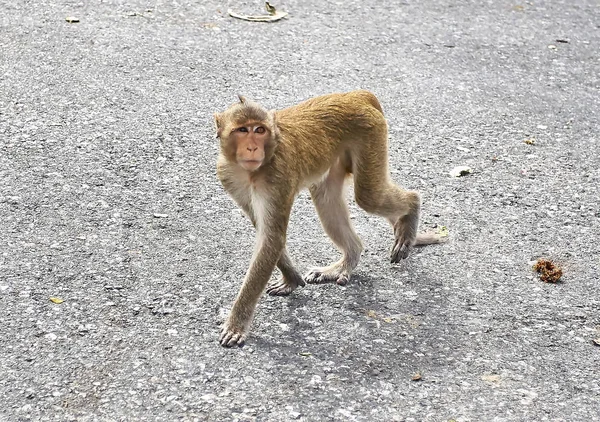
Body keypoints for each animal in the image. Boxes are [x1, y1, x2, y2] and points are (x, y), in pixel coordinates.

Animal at [213, 90, 442, 348]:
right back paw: (348, 258)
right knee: (326, 196)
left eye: (259, 130)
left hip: (370, 136)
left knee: (369, 196)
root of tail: (357, 95)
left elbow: (271, 238)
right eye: (242, 130)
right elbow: (263, 230)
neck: (253, 170)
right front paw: (292, 278)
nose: (252, 148)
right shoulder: (228, 176)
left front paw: (236, 324)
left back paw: (410, 212)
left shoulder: (277, 177)